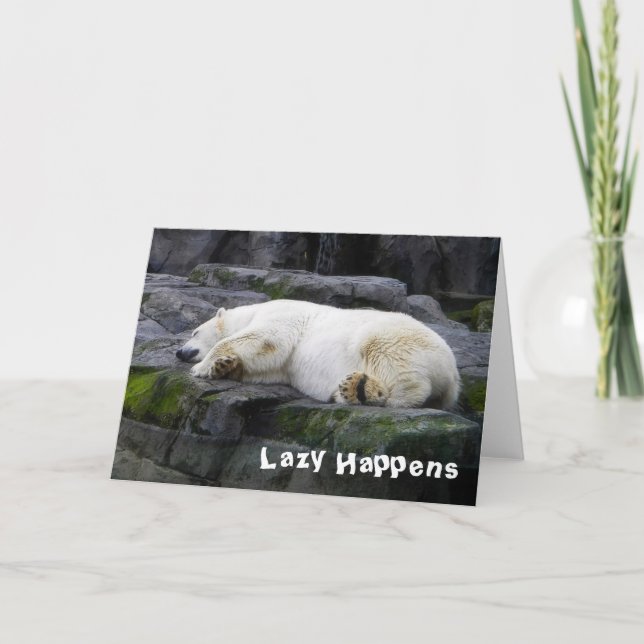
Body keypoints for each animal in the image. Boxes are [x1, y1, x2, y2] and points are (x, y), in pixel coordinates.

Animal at [176, 299, 461, 409]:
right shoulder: (281, 367)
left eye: (194, 332)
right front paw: (223, 366)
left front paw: (202, 367)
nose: (179, 352)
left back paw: (367, 392)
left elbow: (266, 338)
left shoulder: (282, 314)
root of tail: (453, 374)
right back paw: (349, 390)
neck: (251, 311)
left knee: (390, 361)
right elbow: (267, 366)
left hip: (396, 338)